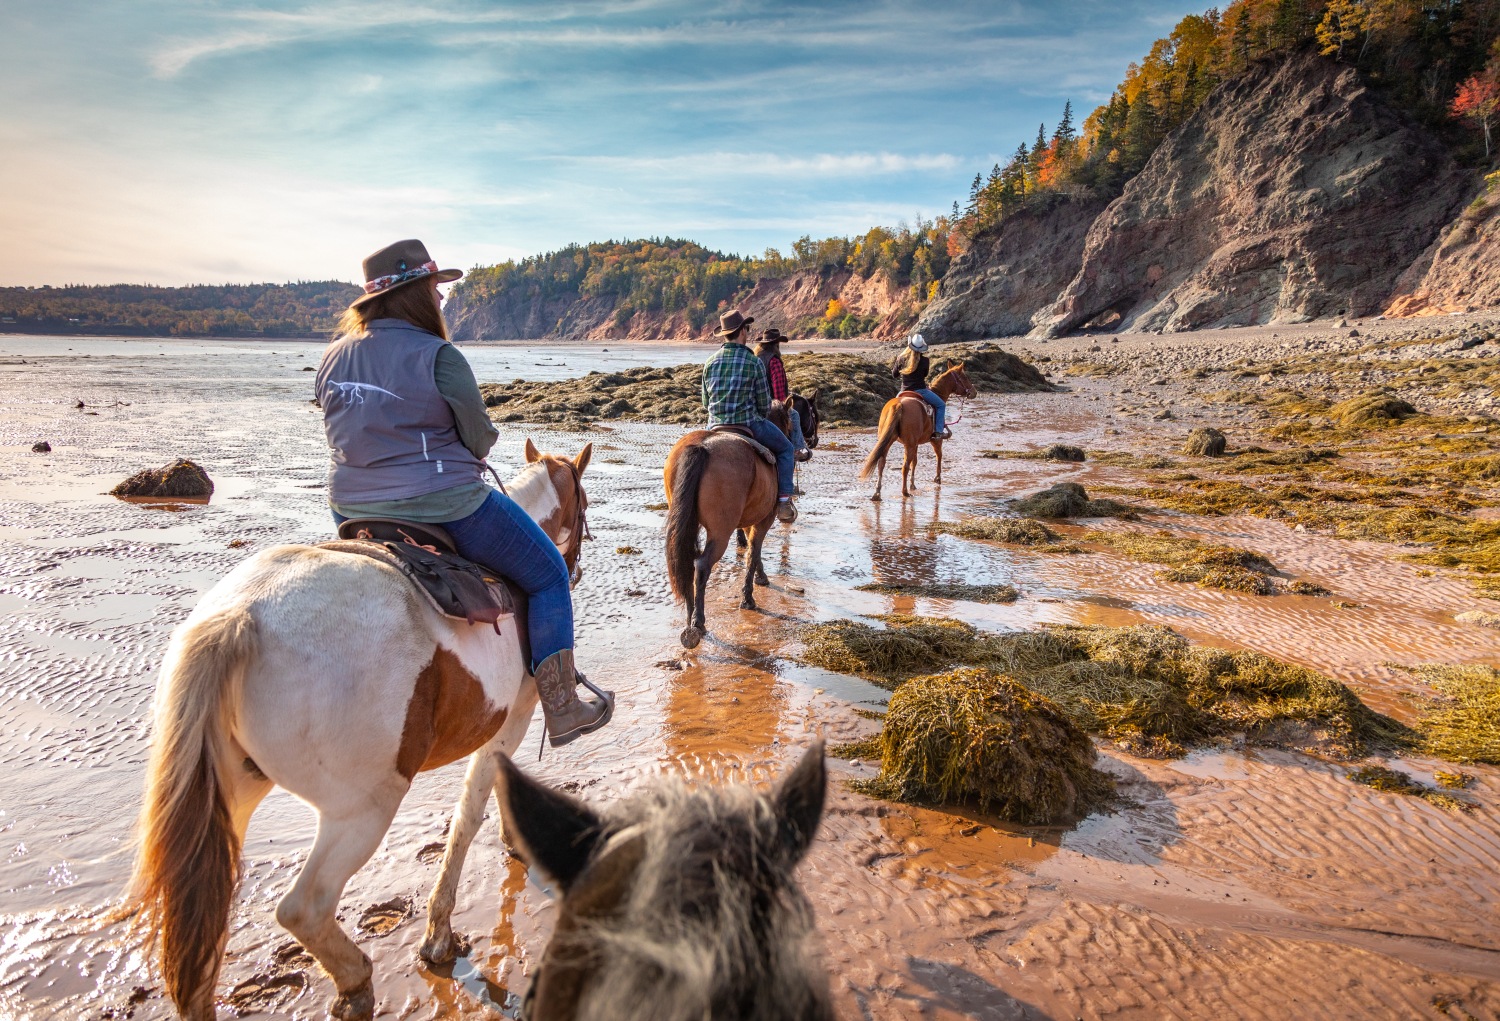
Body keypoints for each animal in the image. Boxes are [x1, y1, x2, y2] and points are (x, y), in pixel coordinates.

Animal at [127, 439, 593, 1021]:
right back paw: (354, 981)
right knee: (304, 910)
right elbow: (472, 810)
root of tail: (239, 620)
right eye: (584, 508)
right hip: (363, 807)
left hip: (231, 796)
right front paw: (439, 934)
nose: (574, 569)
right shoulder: (514, 717)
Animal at [664, 401, 793, 649]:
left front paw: (760, 578)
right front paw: (748, 597)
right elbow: (753, 551)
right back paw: (698, 623)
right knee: (702, 565)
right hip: (720, 533)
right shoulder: (764, 519)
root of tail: (702, 446)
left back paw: (690, 618)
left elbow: (752, 549)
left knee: (688, 563)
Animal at [858, 362, 977, 501]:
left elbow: (915, 462)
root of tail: (898, 405)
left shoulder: (915, 444)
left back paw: (877, 493)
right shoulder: (936, 440)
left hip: (889, 441)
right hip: (908, 444)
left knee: (882, 463)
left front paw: (913, 484)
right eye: (965, 377)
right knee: (904, 467)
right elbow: (939, 455)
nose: (974, 392)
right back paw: (904, 492)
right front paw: (937, 478)